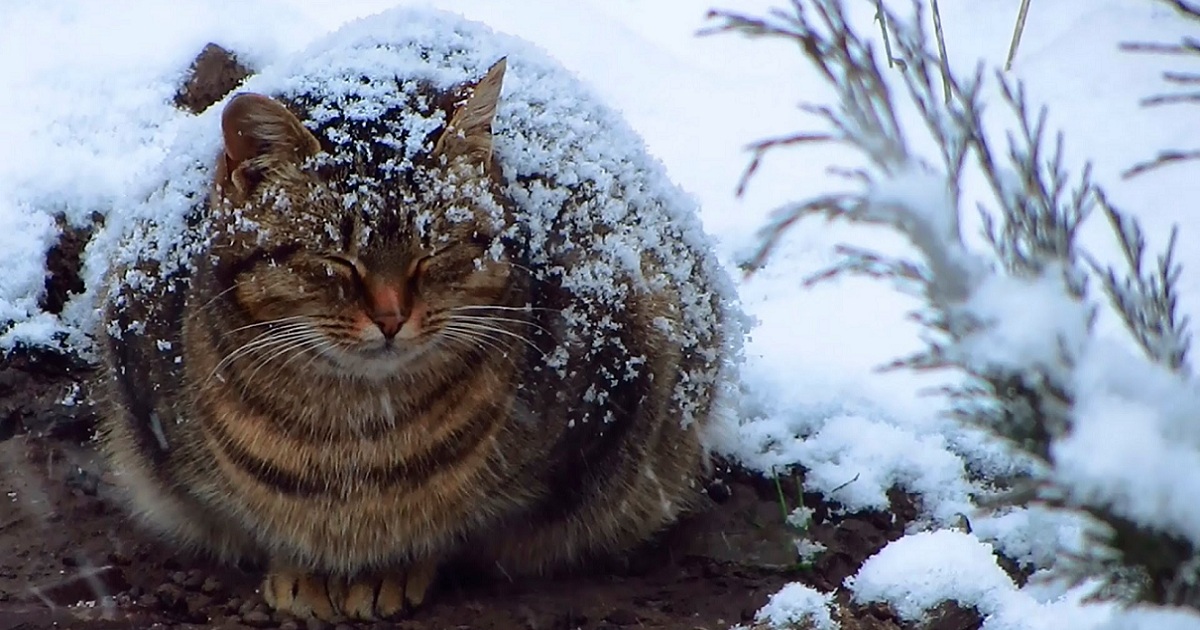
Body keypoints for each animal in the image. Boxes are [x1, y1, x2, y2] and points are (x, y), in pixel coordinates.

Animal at [96, 42, 729, 619]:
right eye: (335, 259)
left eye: (436, 252)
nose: (391, 317)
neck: (351, 439)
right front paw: (302, 571)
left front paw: (387, 572)